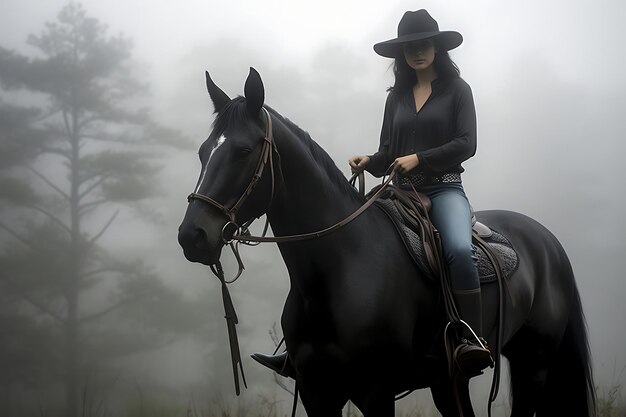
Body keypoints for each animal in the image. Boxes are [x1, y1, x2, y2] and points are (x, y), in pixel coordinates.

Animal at [177, 68, 596, 416]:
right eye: (202, 151)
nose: (192, 236)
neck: (335, 271)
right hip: (450, 380)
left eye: (243, 150)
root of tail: (547, 241)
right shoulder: (317, 392)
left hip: (533, 363)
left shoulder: (375, 392)